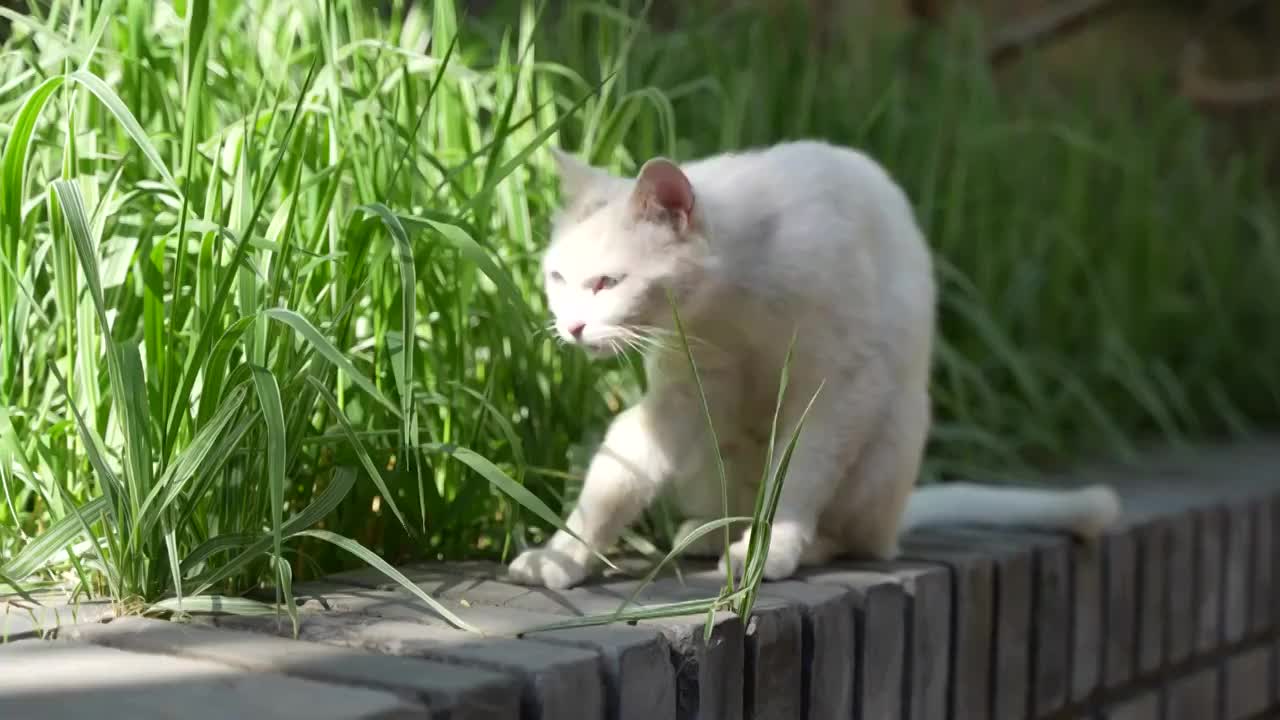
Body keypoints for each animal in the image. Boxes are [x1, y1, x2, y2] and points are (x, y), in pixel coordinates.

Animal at [509, 140, 1121, 589]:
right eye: (557, 278)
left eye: (606, 283)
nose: (571, 327)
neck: (732, 304)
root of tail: (897, 517)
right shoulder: (684, 394)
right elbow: (615, 477)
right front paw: (563, 555)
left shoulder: (841, 385)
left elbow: (798, 475)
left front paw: (771, 548)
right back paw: (706, 532)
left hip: (889, 434)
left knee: (860, 539)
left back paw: (795, 543)